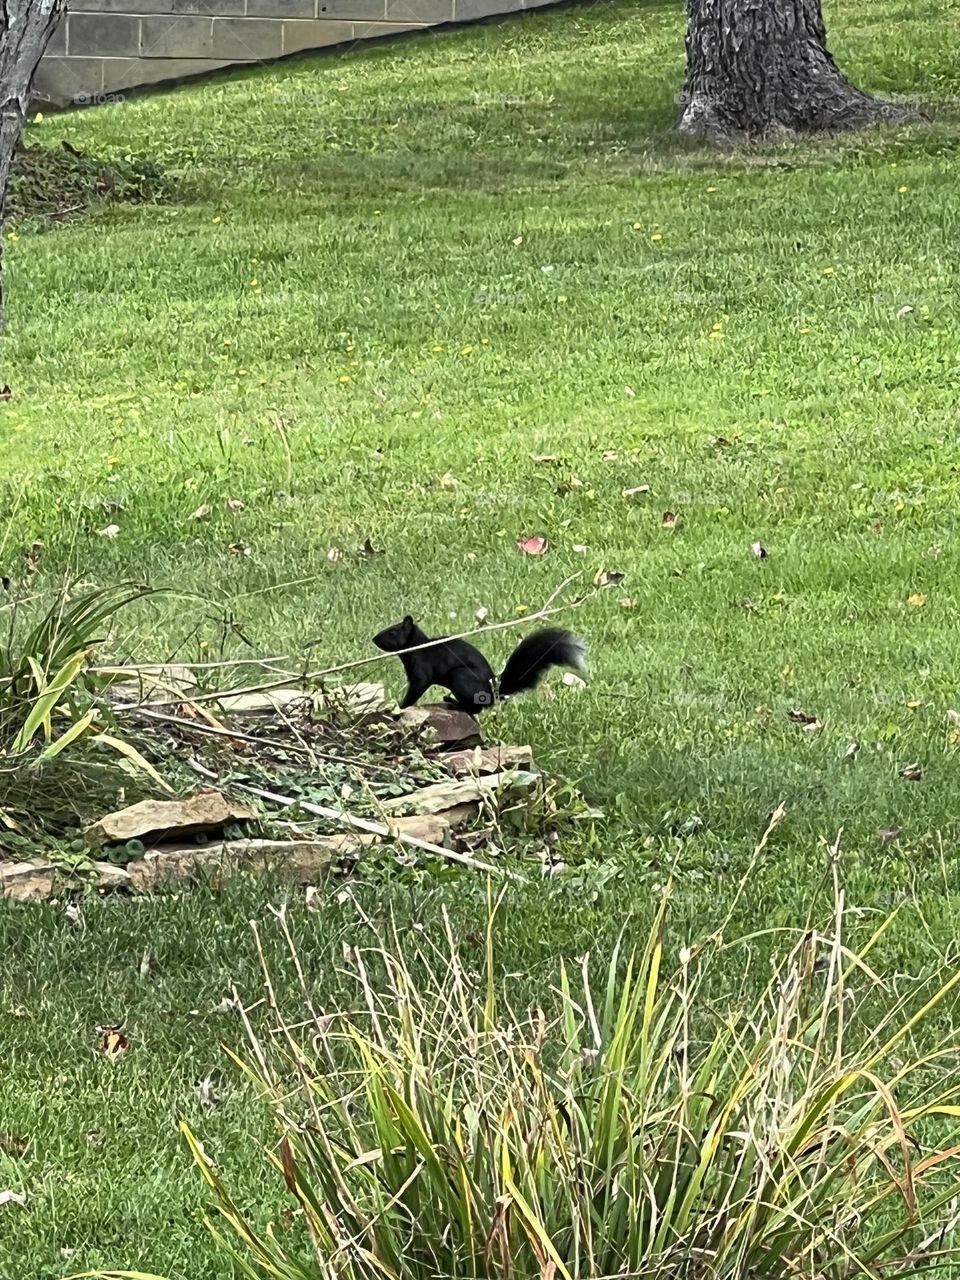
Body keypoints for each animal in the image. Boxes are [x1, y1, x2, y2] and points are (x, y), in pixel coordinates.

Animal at [372, 616, 586, 714]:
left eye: (392, 632)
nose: (374, 639)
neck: (419, 646)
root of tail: (494, 692)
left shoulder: (421, 669)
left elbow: (418, 686)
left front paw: (400, 706)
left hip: (461, 677)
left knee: (475, 709)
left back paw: (454, 702)